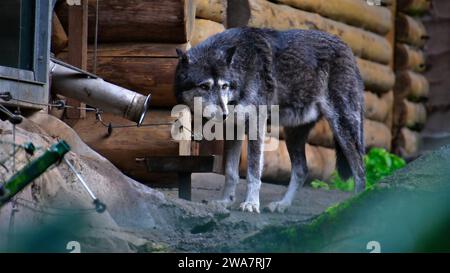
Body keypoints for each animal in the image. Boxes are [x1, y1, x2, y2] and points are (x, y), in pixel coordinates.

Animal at [174, 26, 364, 212]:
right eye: (204, 86)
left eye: (224, 86)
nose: (224, 114)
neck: (242, 67)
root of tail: (347, 49)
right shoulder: (234, 129)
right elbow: (230, 172)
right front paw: (226, 202)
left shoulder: (256, 125)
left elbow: (253, 172)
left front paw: (251, 203)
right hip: (294, 135)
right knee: (302, 170)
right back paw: (282, 205)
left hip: (343, 127)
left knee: (360, 170)